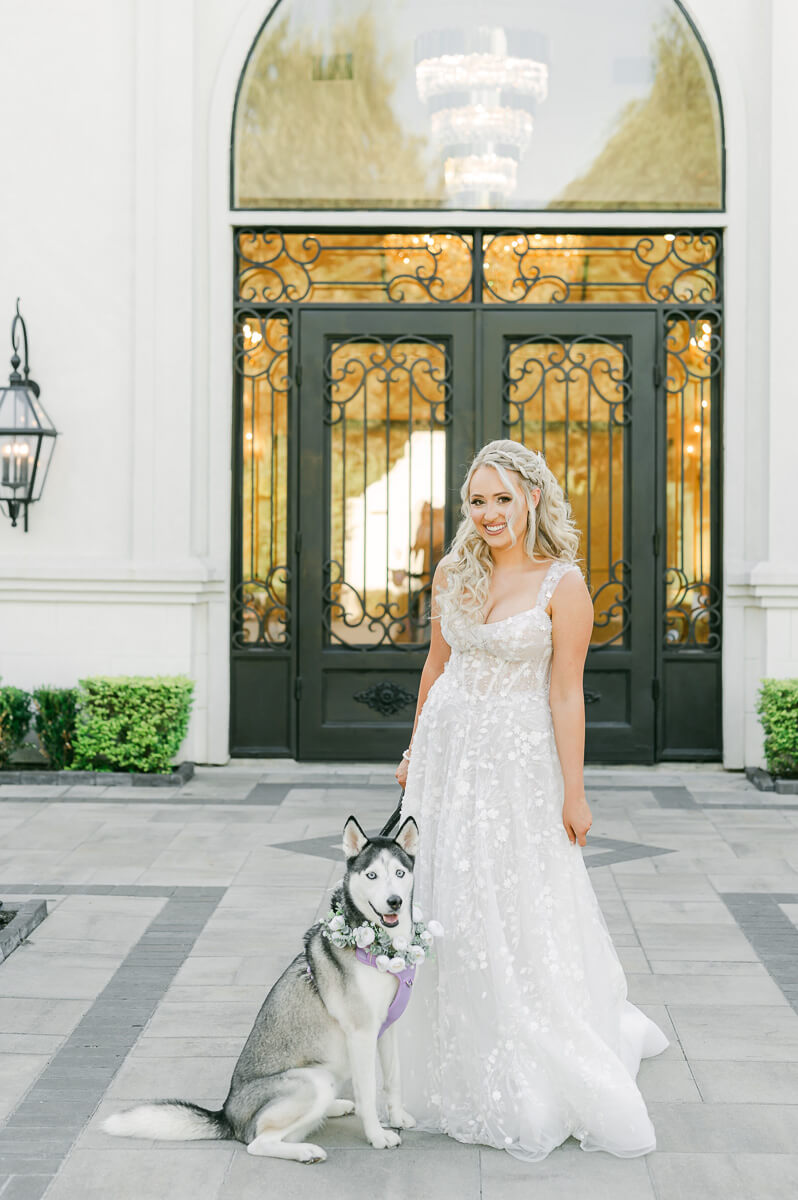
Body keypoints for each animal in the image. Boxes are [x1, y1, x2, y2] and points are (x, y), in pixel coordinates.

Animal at [101, 816, 417, 1161]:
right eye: (371, 875)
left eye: (399, 873)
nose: (394, 901)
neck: (379, 948)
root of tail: (227, 1115)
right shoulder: (361, 1033)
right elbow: (369, 1091)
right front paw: (377, 1135)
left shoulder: (387, 1028)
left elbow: (394, 1079)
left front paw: (397, 1117)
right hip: (313, 1080)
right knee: (258, 1142)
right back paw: (305, 1151)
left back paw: (334, 1108)